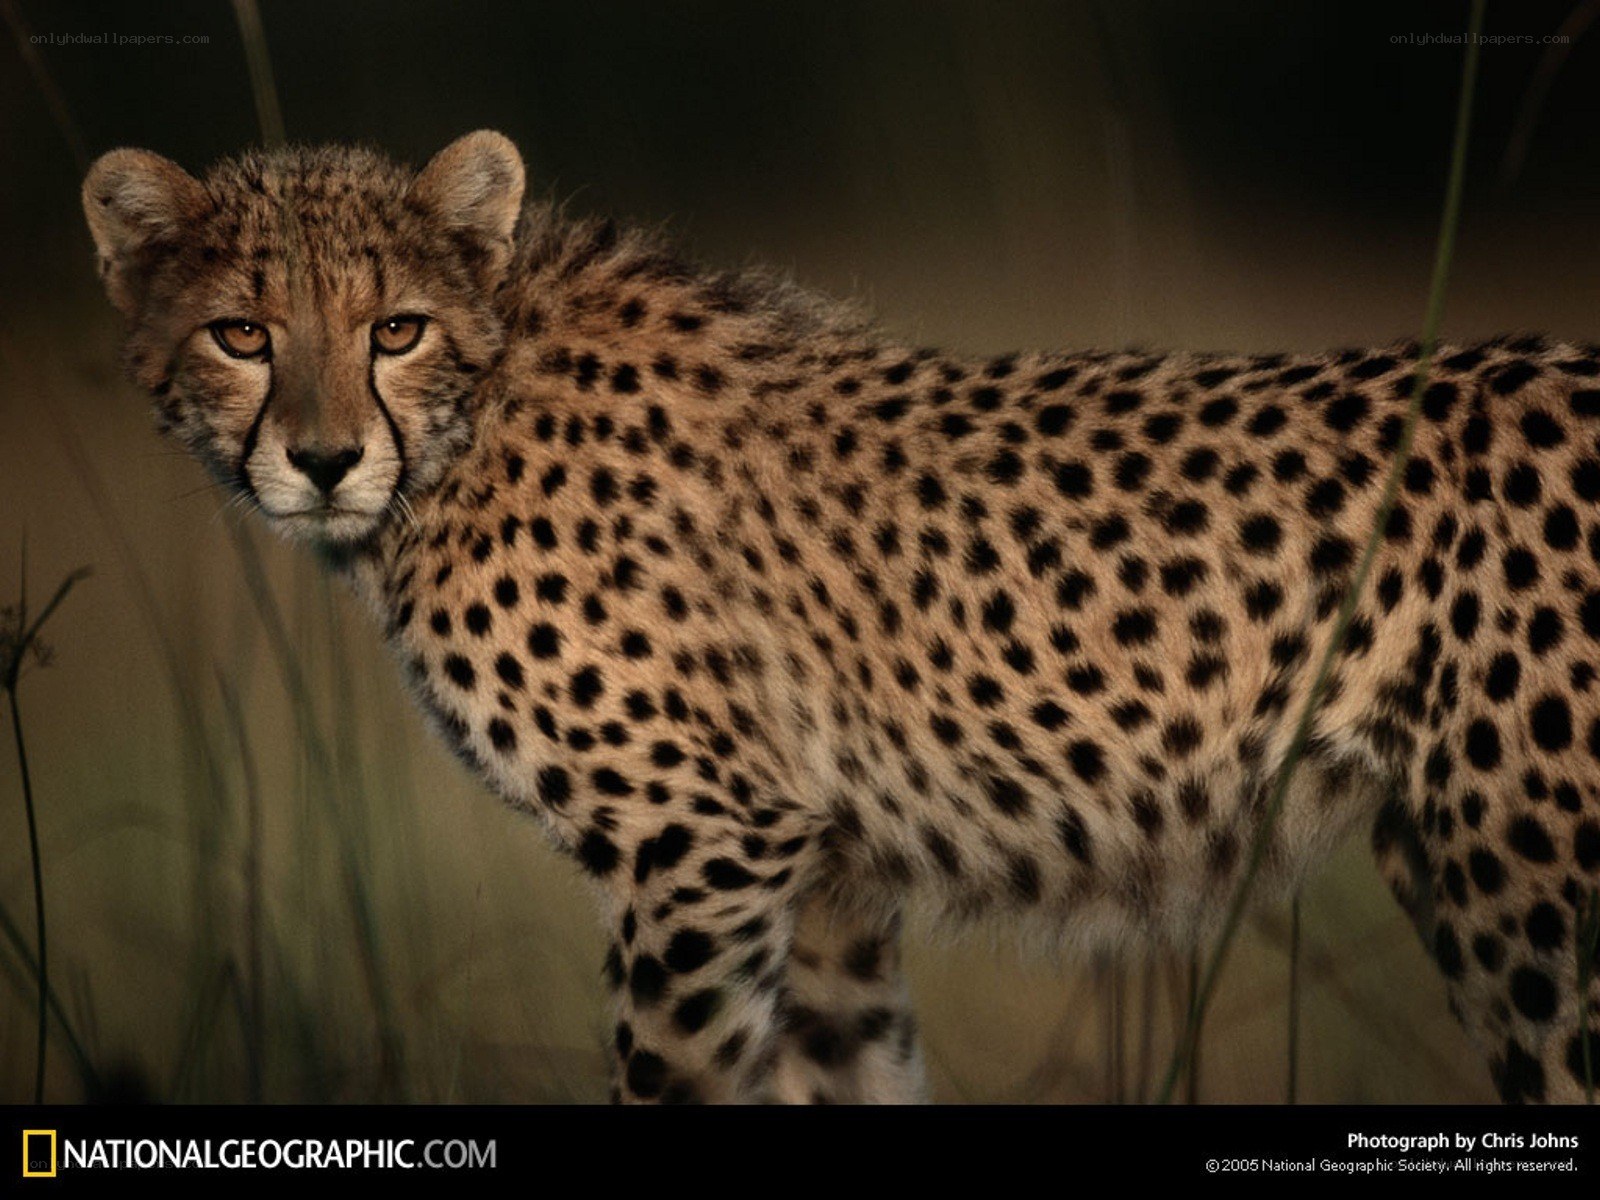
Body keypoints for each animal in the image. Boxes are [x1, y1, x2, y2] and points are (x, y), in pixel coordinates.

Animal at [81, 130, 1600, 1104]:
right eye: (241, 334)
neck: (477, 406)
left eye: (391, 328)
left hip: (1525, 892)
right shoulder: (818, 881)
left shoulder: (700, 843)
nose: (324, 459)